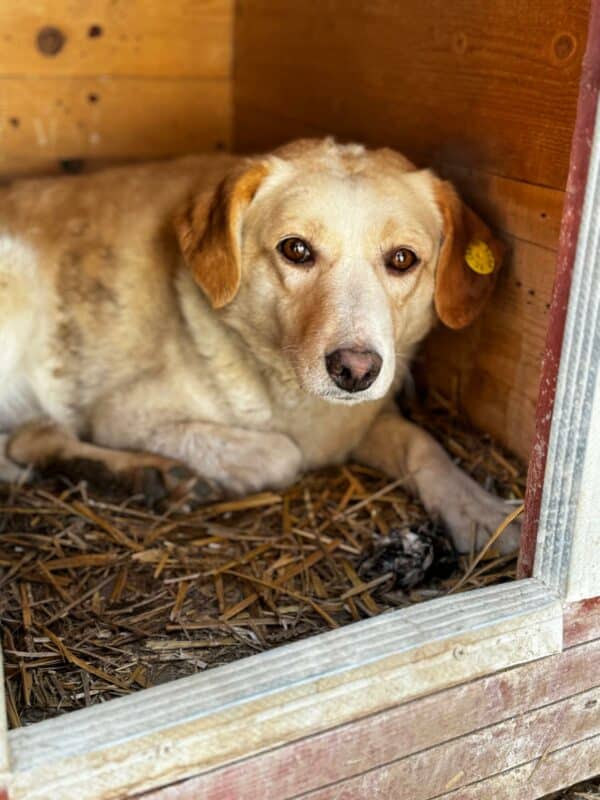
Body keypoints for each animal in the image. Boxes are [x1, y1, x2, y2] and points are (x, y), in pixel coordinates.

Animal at [0, 138, 520, 552]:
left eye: (402, 259)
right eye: (296, 250)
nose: (355, 370)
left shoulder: (360, 421)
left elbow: (421, 443)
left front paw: (477, 506)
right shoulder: (122, 415)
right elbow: (283, 454)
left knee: (33, 437)